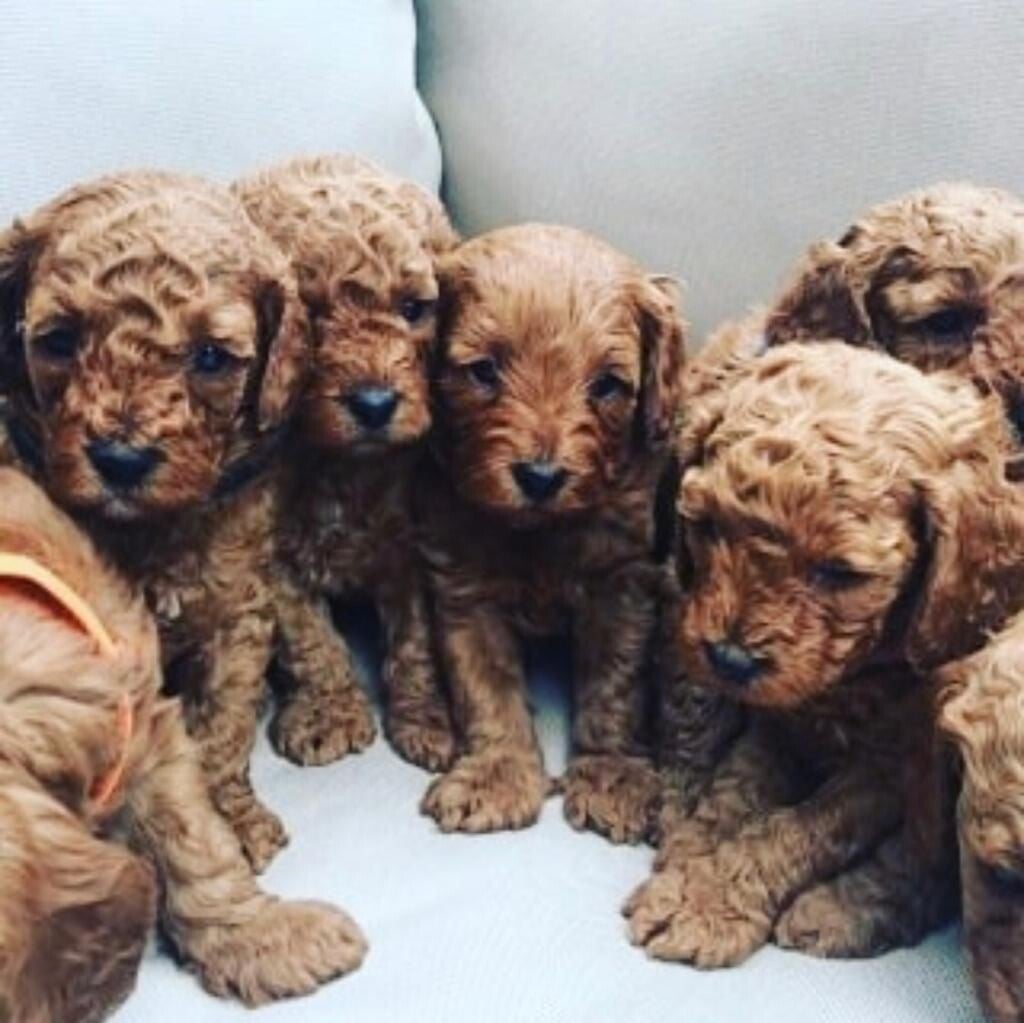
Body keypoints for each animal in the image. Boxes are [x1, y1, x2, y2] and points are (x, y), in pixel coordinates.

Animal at [0, 171, 309, 871]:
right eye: (59, 340)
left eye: (212, 357)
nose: (121, 460)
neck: (153, 528)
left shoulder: (240, 611)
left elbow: (223, 727)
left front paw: (232, 819)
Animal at [233, 154, 459, 771]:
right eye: (310, 313)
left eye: (413, 309)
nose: (375, 404)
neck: (341, 463)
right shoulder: (271, 555)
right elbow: (312, 639)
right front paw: (328, 714)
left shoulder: (413, 545)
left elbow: (415, 641)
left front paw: (427, 719)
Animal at [417, 224, 685, 841]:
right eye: (484, 371)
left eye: (607, 385)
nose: (539, 477)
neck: (538, 531)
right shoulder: (464, 587)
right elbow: (486, 691)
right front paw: (497, 774)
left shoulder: (623, 585)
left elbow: (614, 687)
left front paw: (612, 774)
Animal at [624, 342, 1024, 967]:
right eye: (707, 526)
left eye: (841, 572)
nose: (729, 661)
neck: (855, 676)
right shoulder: (782, 717)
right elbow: (737, 786)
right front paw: (694, 853)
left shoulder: (890, 768)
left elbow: (800, 830)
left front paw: (709, 899)